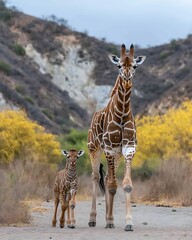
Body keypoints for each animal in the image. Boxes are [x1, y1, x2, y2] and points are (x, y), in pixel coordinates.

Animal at [88, 43, 146, 231]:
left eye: (134, 66)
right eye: (119, 65)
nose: (127, 77)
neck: (121, 114)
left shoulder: (128, 148)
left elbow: (126, 184)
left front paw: (128, 222)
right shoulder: (109, 148)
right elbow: (112, 185)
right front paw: (111, 221)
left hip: (117, 154)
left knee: (106, 178)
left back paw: (107, 217)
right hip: (94, 148)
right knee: (96, 177)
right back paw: (93, 219)